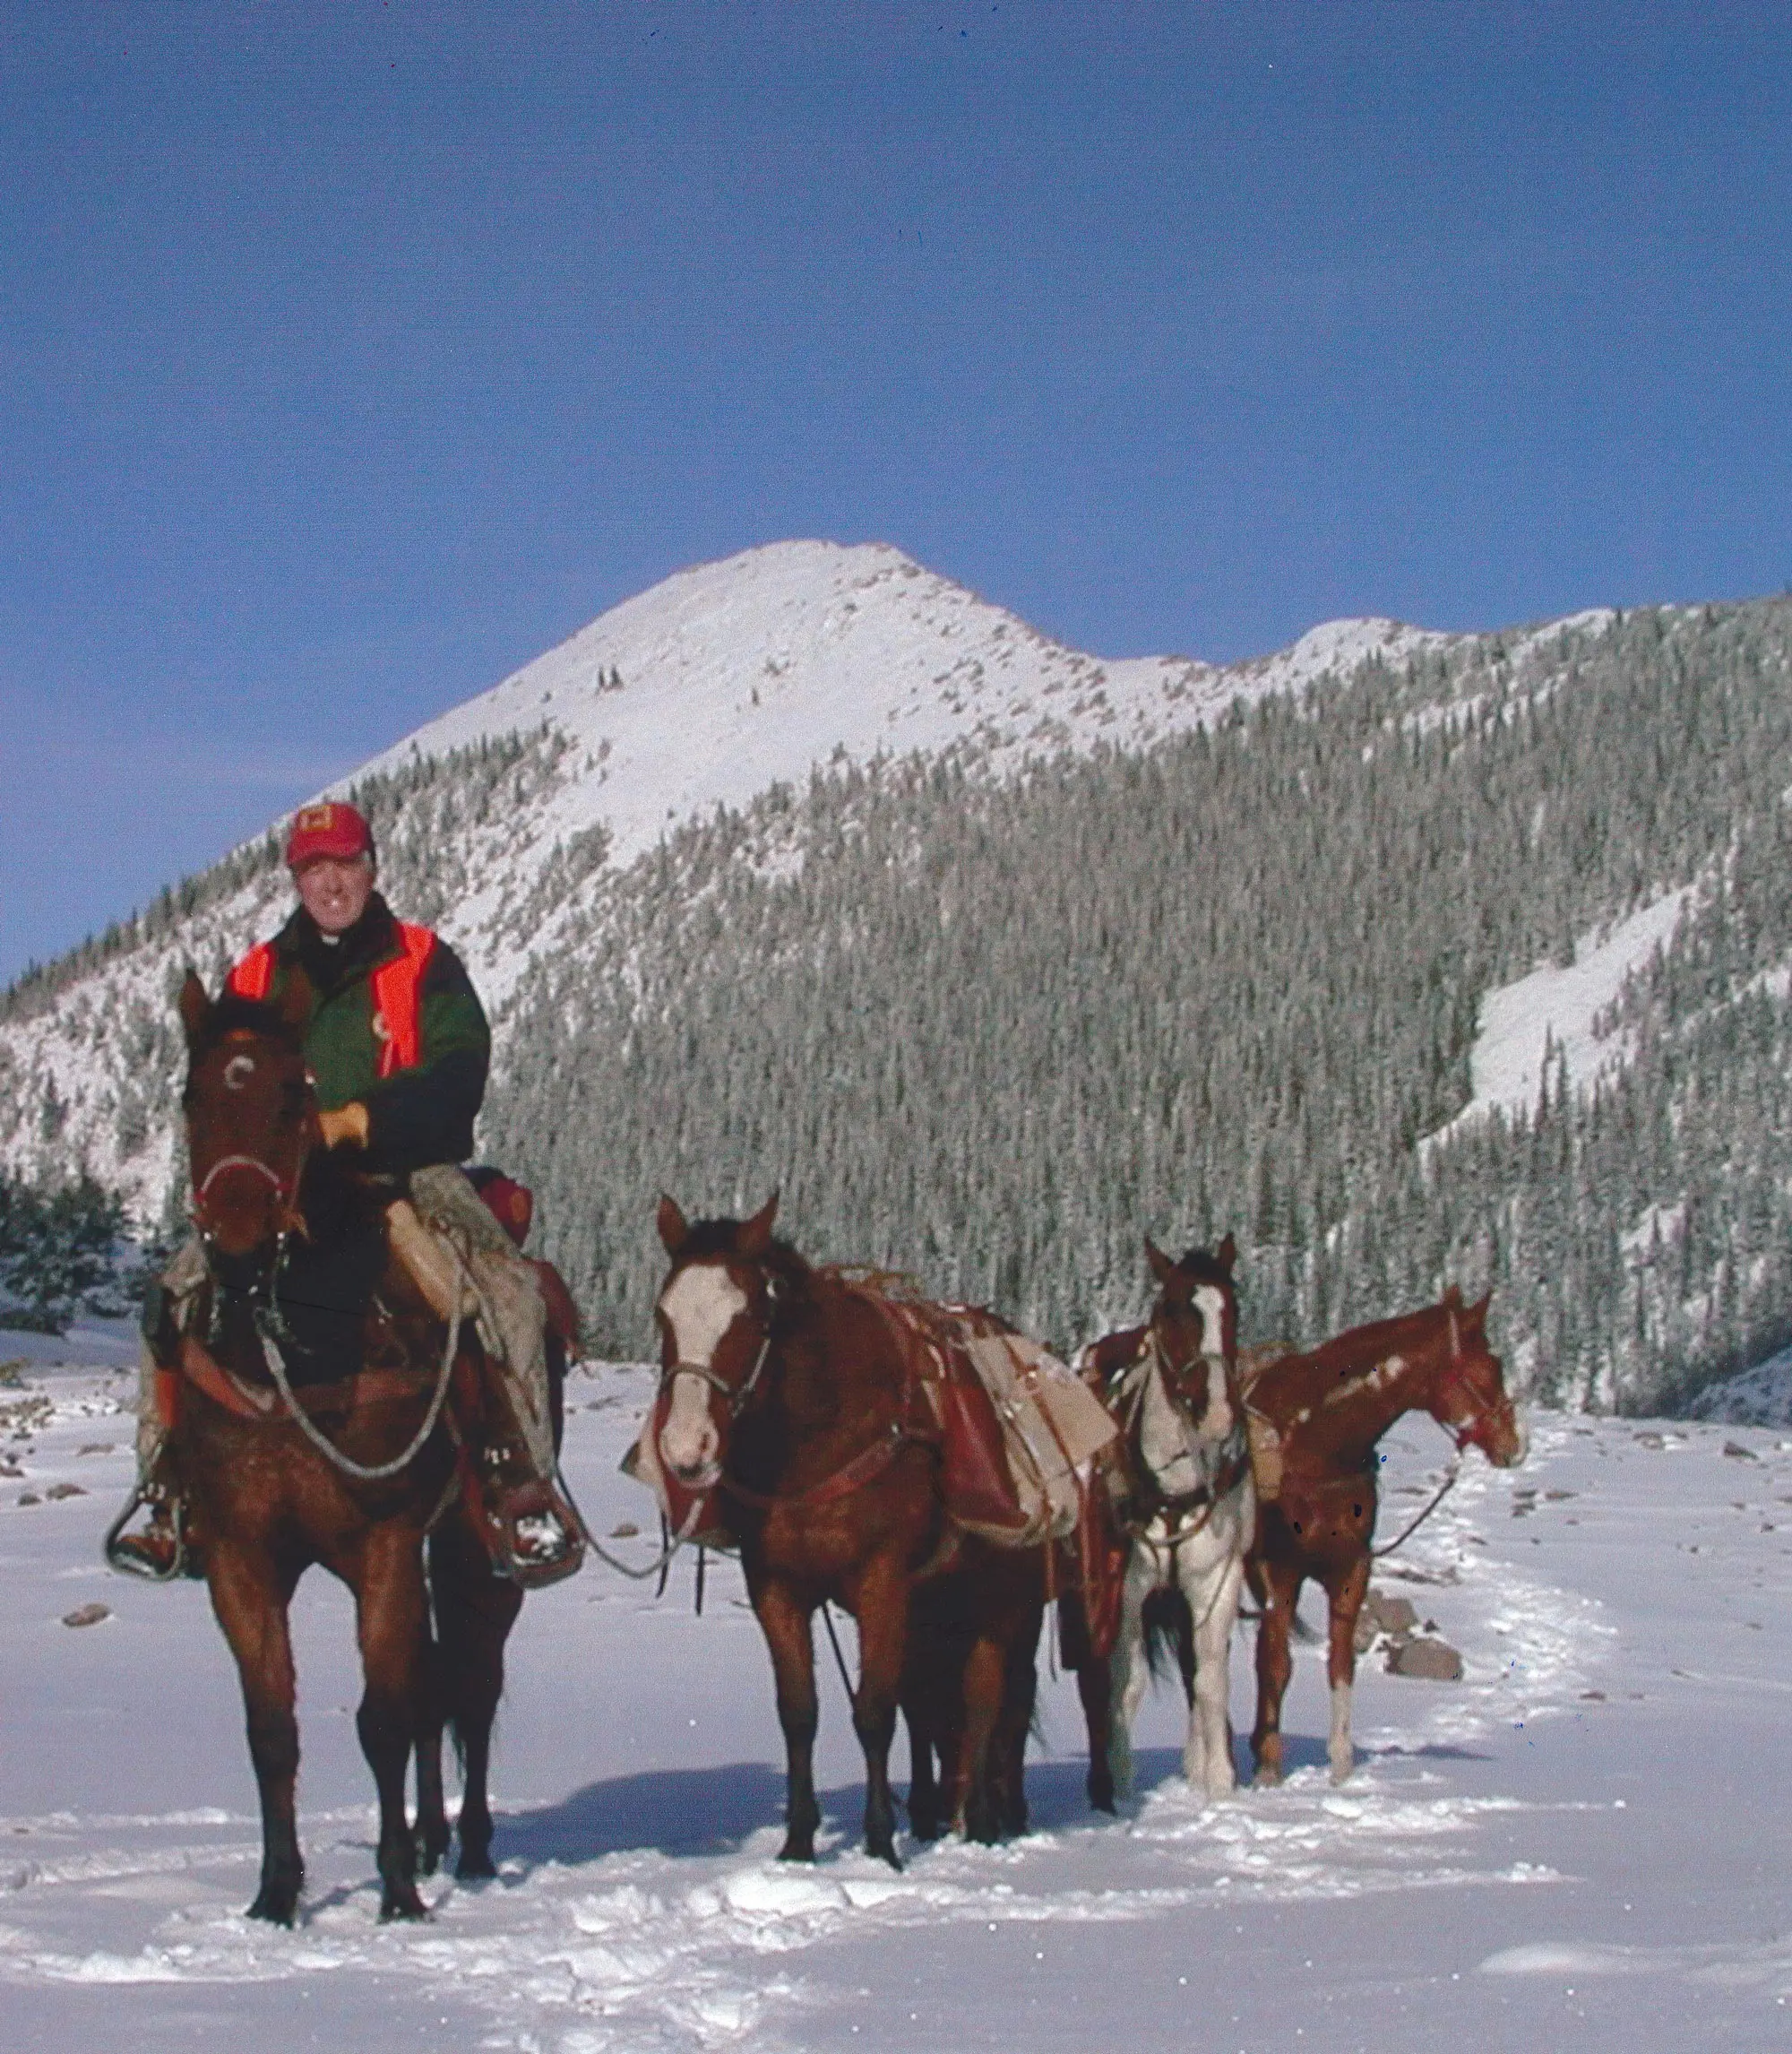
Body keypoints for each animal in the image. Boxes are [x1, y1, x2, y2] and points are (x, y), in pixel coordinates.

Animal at [154, 969, 530, 1914]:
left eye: (296, 1095)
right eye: (192, 1095)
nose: (239, 1239)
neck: (297, 1346)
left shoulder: (385, 1542)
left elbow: (386, 1718)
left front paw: (395, 1890)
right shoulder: (243, 1556)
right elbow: (272, 1728)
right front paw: (276, 1895)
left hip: (469, 1543)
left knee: (471, 1684)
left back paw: (467, 1849)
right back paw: (433, 1843)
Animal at [648, 1199, 1042, 1873]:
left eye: (749, 1317)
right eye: (663, 1312)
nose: (686, 1449)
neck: (818, 1438)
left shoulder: (882, 1581)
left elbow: (874, 1712)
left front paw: (880, 1844)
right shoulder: (776, 1587)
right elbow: (799, 1713)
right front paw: (798, 1845)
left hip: (1003, 1605)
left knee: (990, 1704)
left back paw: (987, 1821)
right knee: (935, 1709)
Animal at [1075, 1232, 1256, 1799]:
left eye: (1233, 1309)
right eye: (1170, 1311)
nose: (1217, 1414)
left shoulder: (1216, 1581)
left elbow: (1210, 1679)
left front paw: (1218, 1782)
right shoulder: (1127, 1590)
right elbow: (1124, 1685)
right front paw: (1121, 1785)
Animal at [1247, 1282, 1527, 1782]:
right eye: (1489, 1367)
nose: (1517, 1444)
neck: (1311, 1446)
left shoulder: (1351, 1569)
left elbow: (1341, 1665)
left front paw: (1340, 1768)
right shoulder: (1280, 1572)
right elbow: (1275, 1664)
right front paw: (1269, 1771)